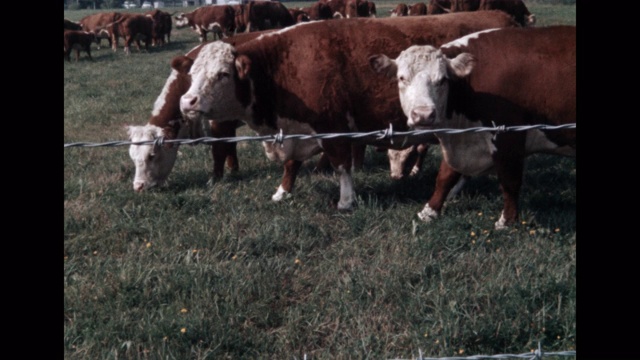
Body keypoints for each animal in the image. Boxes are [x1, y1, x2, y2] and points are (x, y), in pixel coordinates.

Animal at [178, 12, 516, 210]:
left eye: (223, 74)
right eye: (192, 73)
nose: (187, 101)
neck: (283, 66)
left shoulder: (332, 127)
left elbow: (341, 166)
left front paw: (345, 201)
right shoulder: (298, 129)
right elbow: (292, 165)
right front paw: (282, 192)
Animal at [368, 26, 576, 228]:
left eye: (442, 80)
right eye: (402, 78)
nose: (423, 114)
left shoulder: (509, 135)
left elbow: (510, 181)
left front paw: (506, 221)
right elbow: (445, 176)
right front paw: (429, 211)